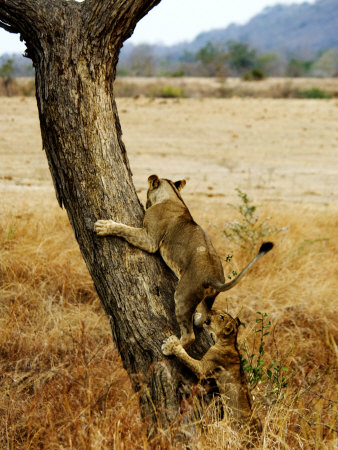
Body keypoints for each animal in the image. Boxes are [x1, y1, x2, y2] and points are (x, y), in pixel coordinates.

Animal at [93, 174, 274, 346]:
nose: (145, 204)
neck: (173, 196)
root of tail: (214, 278)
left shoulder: (150, 240)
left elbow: (124, 229)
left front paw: (104, 226)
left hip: (183, 295)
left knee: (189, 336)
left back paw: (171, 347)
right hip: (210, 297)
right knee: (205, 316)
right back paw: (198, 318)